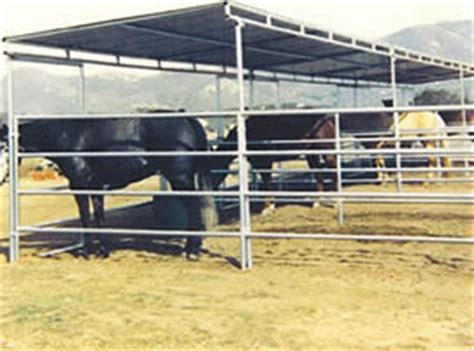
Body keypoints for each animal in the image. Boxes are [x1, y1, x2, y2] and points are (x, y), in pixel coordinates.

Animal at [12, 114, 217, 260]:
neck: (68, 137)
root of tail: (187, 118)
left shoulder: (79, 186)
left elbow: (85, 218)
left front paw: (86, 252)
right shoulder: (96, 188)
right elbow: (99, 217)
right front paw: (103, 251)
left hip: (180, 179)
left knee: (194, 208)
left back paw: (192, 251)